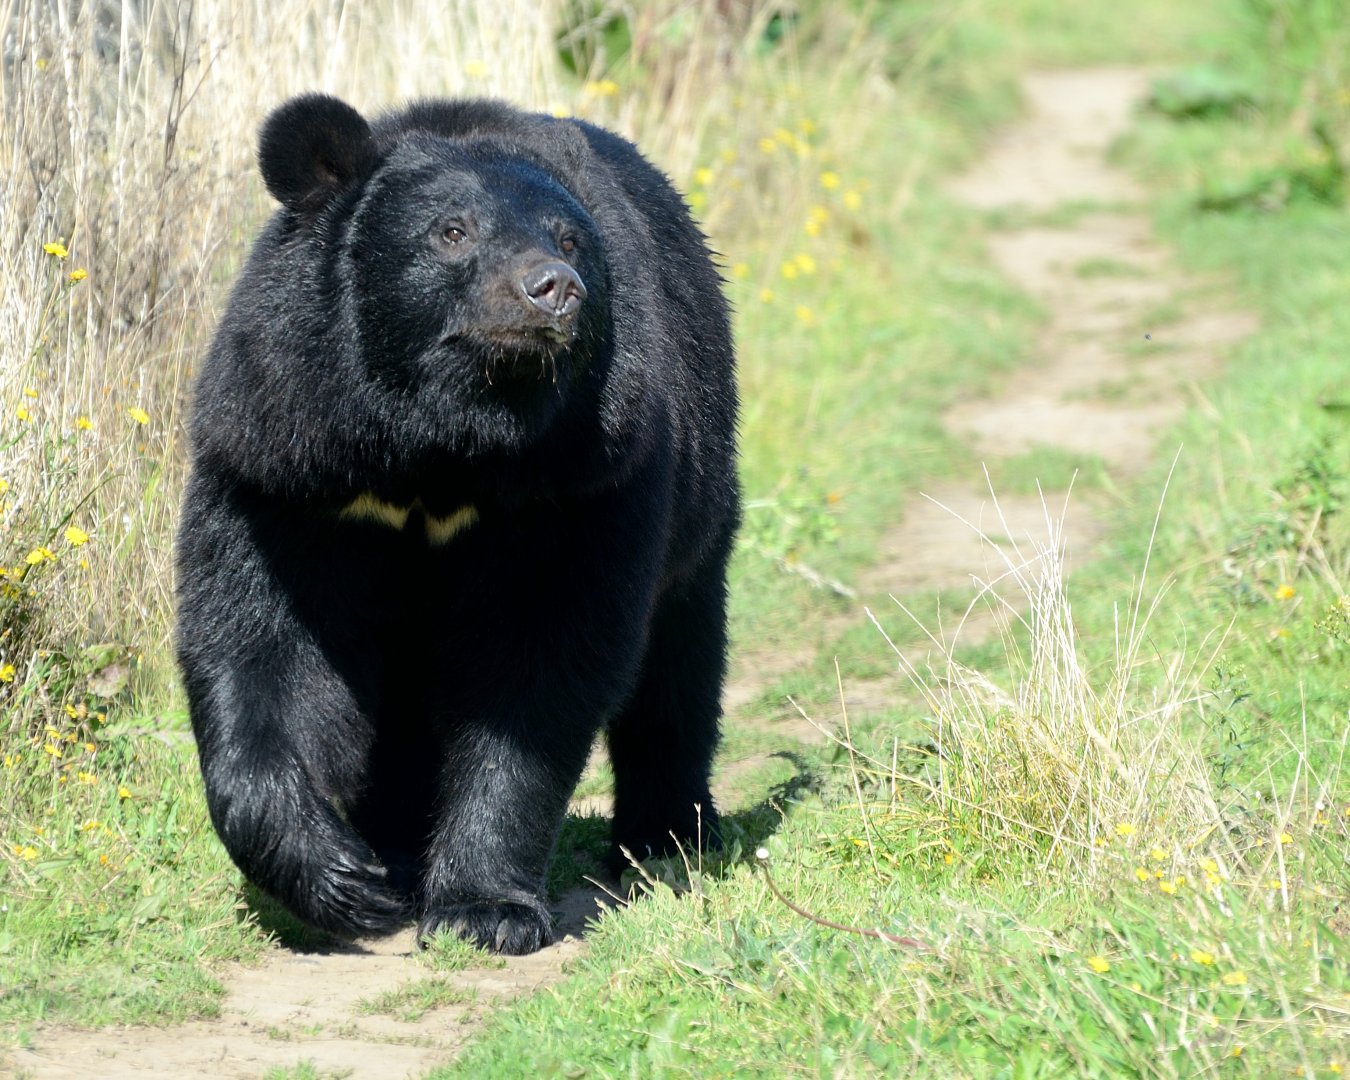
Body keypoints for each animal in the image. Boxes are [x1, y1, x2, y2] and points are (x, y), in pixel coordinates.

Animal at [175, 93, 739, 955]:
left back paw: (668, 838)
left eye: (570, 240)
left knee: (679, 661)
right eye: (451, 232)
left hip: (700, 495)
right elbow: (263, 644)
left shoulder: (580, 481)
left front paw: (483, 909)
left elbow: (537, 662)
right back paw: (398, 852)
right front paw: (344, 881)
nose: (555, 289)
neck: (440, 445)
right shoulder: (287, 462)